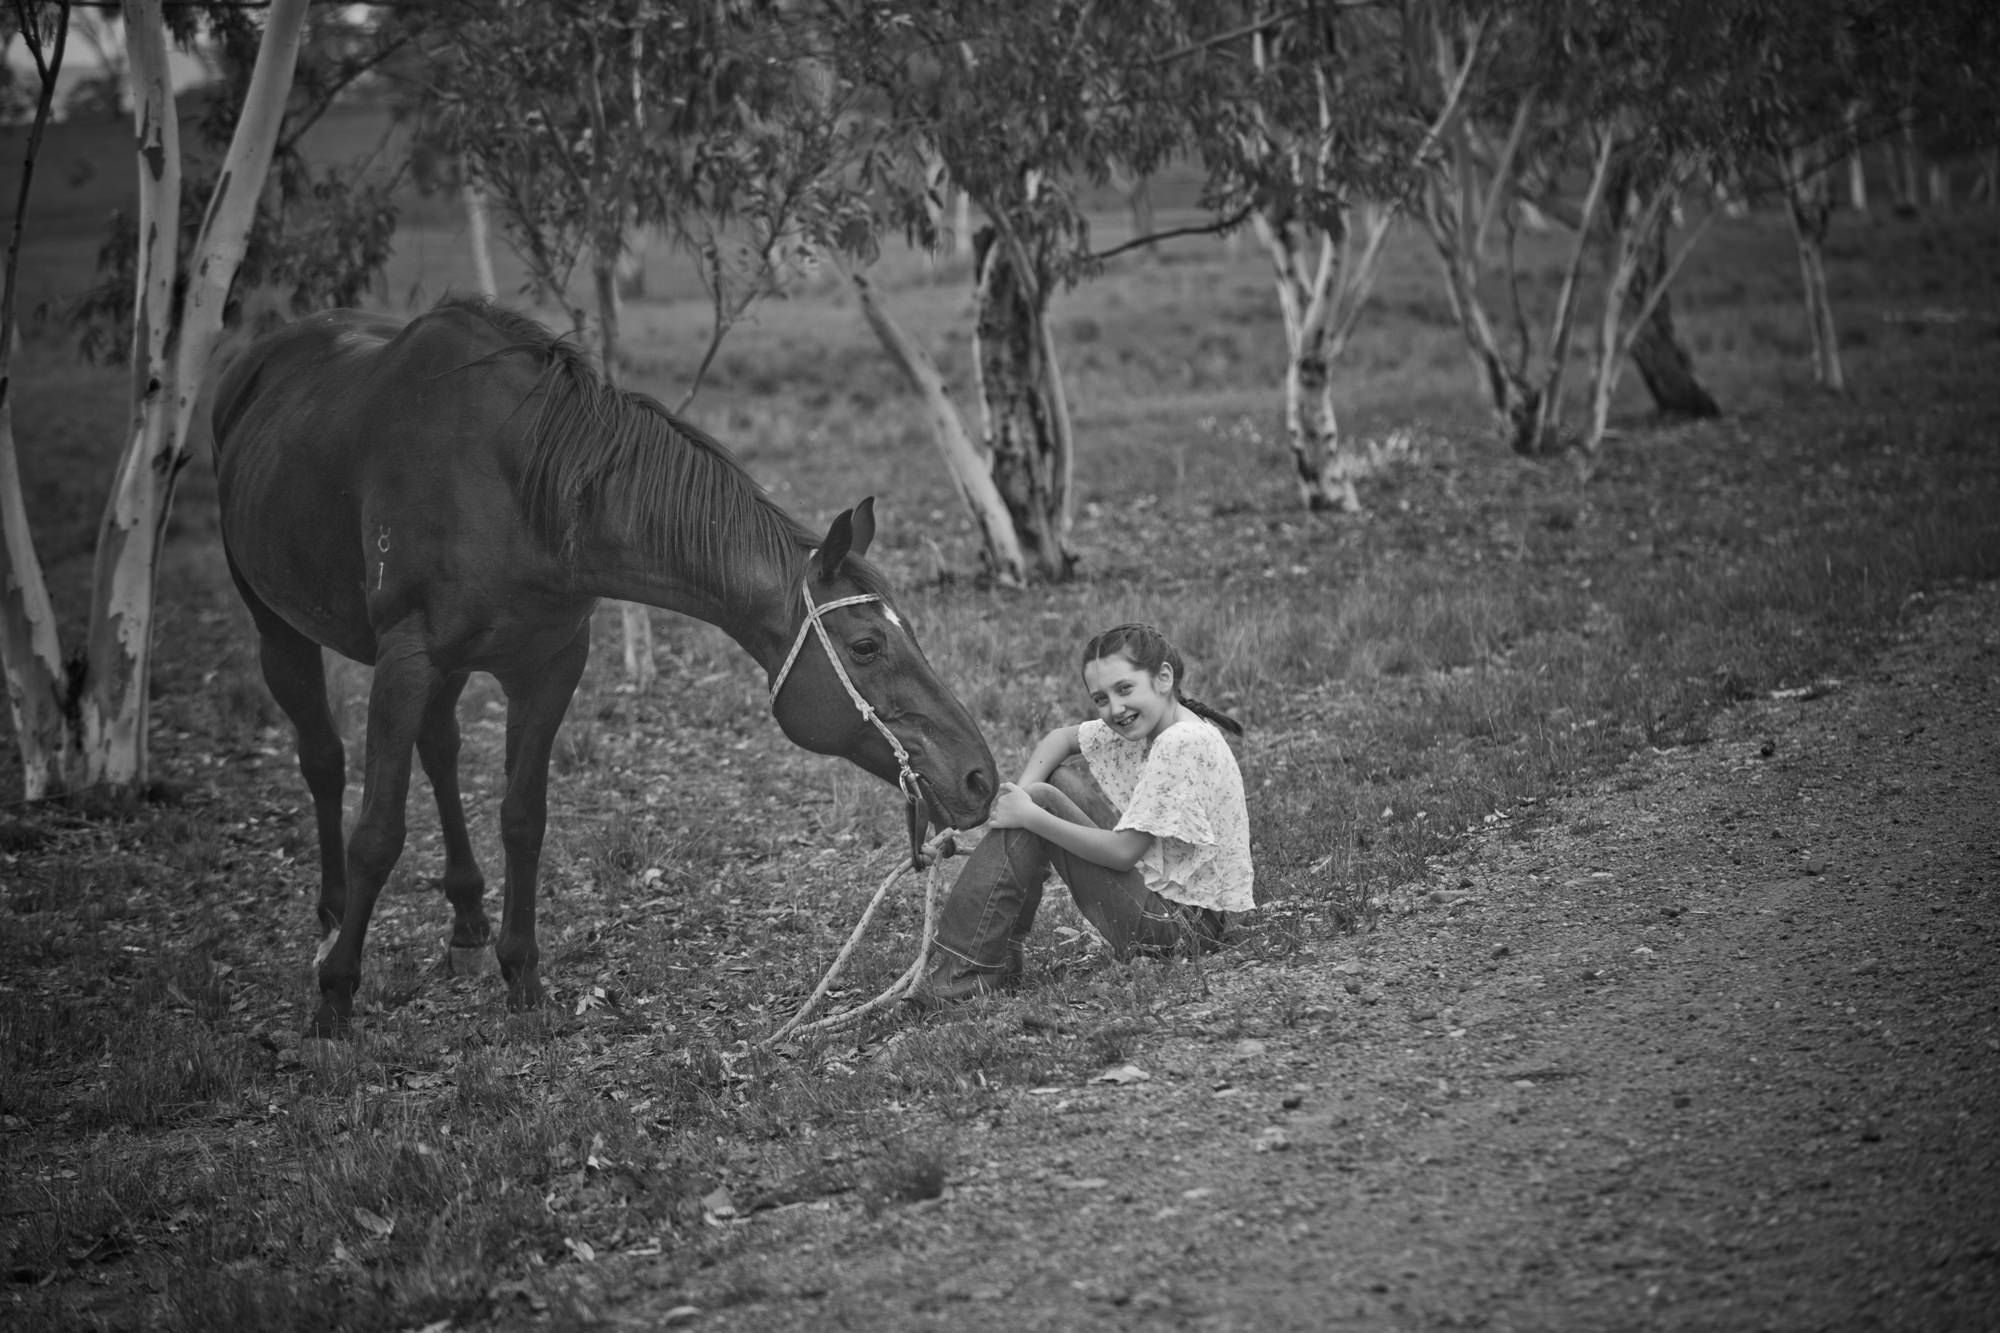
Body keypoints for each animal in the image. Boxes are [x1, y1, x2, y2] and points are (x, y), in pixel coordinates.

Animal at [209, 295, 996, 1037]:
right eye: (866, 646)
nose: (980, 777)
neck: (517, 485)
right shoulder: (405, 660)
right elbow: (377, 832)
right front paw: (337, 992)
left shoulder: (551, 663)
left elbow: (524, 816)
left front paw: (522, 976)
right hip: (277, 624)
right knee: (324, 761)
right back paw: (331, 918)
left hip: (450, 669)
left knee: (439, 748)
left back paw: (466, 919)